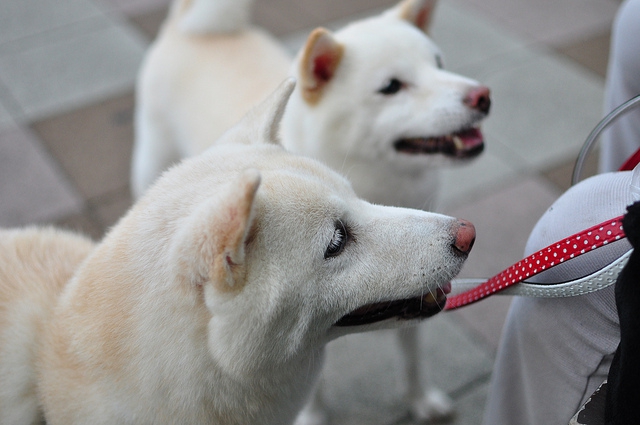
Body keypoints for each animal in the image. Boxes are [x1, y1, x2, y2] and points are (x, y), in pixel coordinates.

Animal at [131, 0, 490, 420]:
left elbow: (412, 355)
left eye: (439, 62)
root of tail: (189, 27)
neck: (382, 187)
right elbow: (314, 385)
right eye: (391, 87)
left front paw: (421, 400)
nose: (482, 96)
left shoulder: (417, 286)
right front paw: (314, 417)